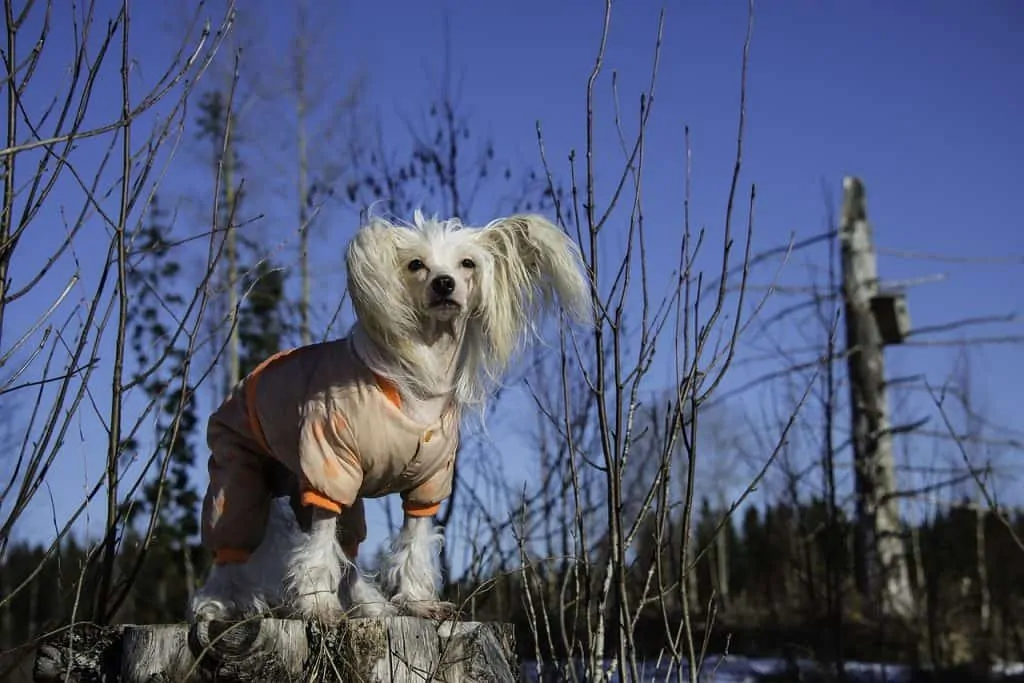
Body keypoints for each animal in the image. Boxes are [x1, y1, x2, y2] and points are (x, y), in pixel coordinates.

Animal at [187, 210, 589, 622]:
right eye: (416, 265)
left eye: (467, 263)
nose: (444, 283)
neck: (423, 374)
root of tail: (242, 384)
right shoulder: (329, 468)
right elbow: (319, 544)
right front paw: (317, 604)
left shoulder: (429, 483)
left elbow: (413, 541)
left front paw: (417, 601)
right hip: (238, 472)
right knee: (230, 547)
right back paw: (219, 603)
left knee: (347, 552)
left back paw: (368, 604)